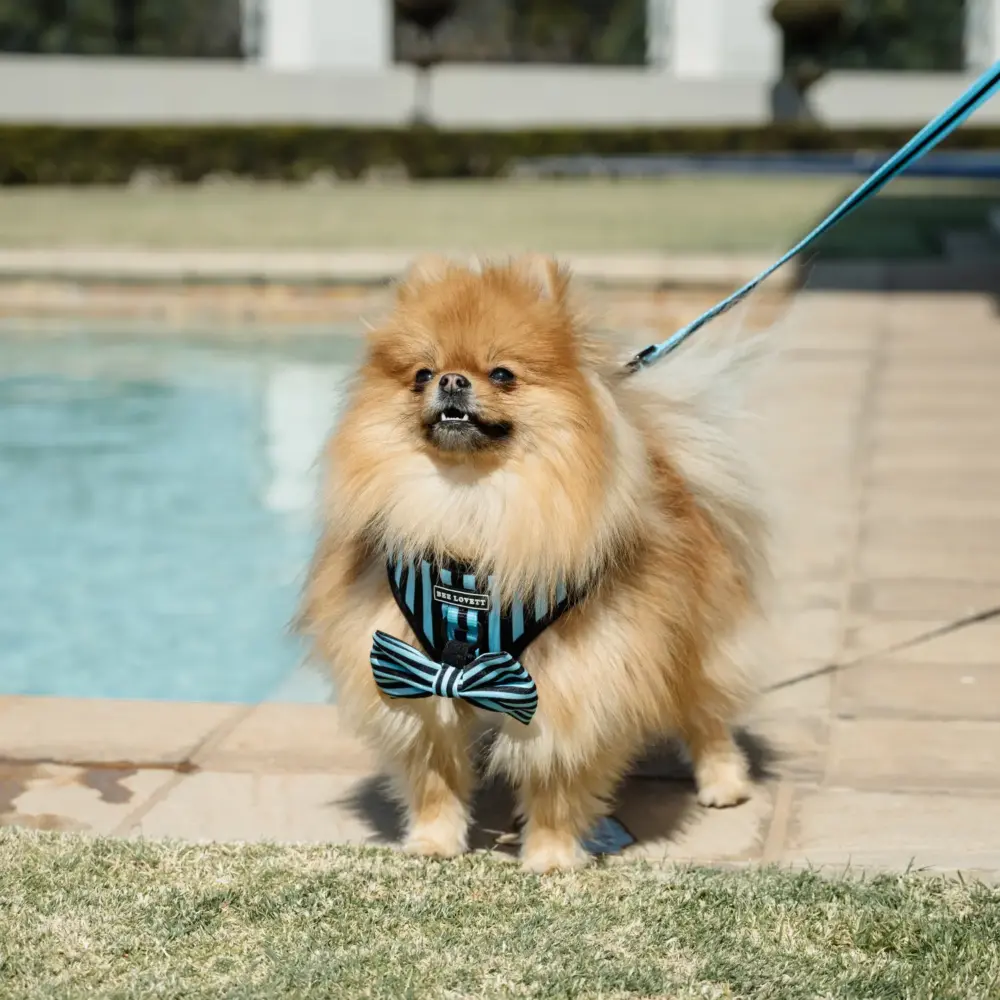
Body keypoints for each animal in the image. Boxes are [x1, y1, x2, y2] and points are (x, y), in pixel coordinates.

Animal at [300, 254, 768, 872]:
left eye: (502, 374)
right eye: (423, 374)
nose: (452, 380)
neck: (470, 506)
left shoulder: (573, 678)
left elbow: (555, 779)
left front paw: (549, 855)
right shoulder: (412, 669)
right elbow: (435, 775)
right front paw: (434, 842)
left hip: (690, 640)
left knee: (707, 713)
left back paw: (723, 782)